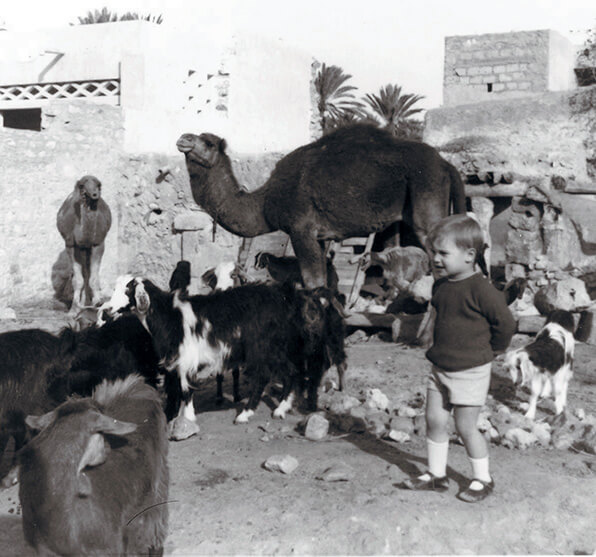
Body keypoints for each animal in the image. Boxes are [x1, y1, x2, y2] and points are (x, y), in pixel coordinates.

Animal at [56, 175, 112, 312]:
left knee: (88, 272)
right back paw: (82, 302)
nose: (95, 194)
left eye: (99, 185)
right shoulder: (71, 244)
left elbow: (94, 278)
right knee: (83, 273)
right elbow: (77, 280)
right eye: (82, 186)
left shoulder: (98, 243)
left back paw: (88, 301)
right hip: (80, 248)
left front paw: (97, 303)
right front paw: (74, 308)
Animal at [101, 276, 344, 424]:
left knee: (266, 376)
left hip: (263, 346)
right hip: (276, 347)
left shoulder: (187, 359)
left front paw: (187, 419)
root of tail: (287, 298)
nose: (107, 310)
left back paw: (247, 414)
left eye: (127, 290)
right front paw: (174, 419)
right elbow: (175, 391)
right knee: (291, 372)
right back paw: (280, 409)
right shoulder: (176, 362)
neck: (170, 316)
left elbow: (185, 390)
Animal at [176, 124, 466, 288]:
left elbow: (313, 282)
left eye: (209, 142)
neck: (265, 202)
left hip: (426, 201)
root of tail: (447, 165)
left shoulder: (301, 228)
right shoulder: (323, 236)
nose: (184, 138)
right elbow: (328, 279)